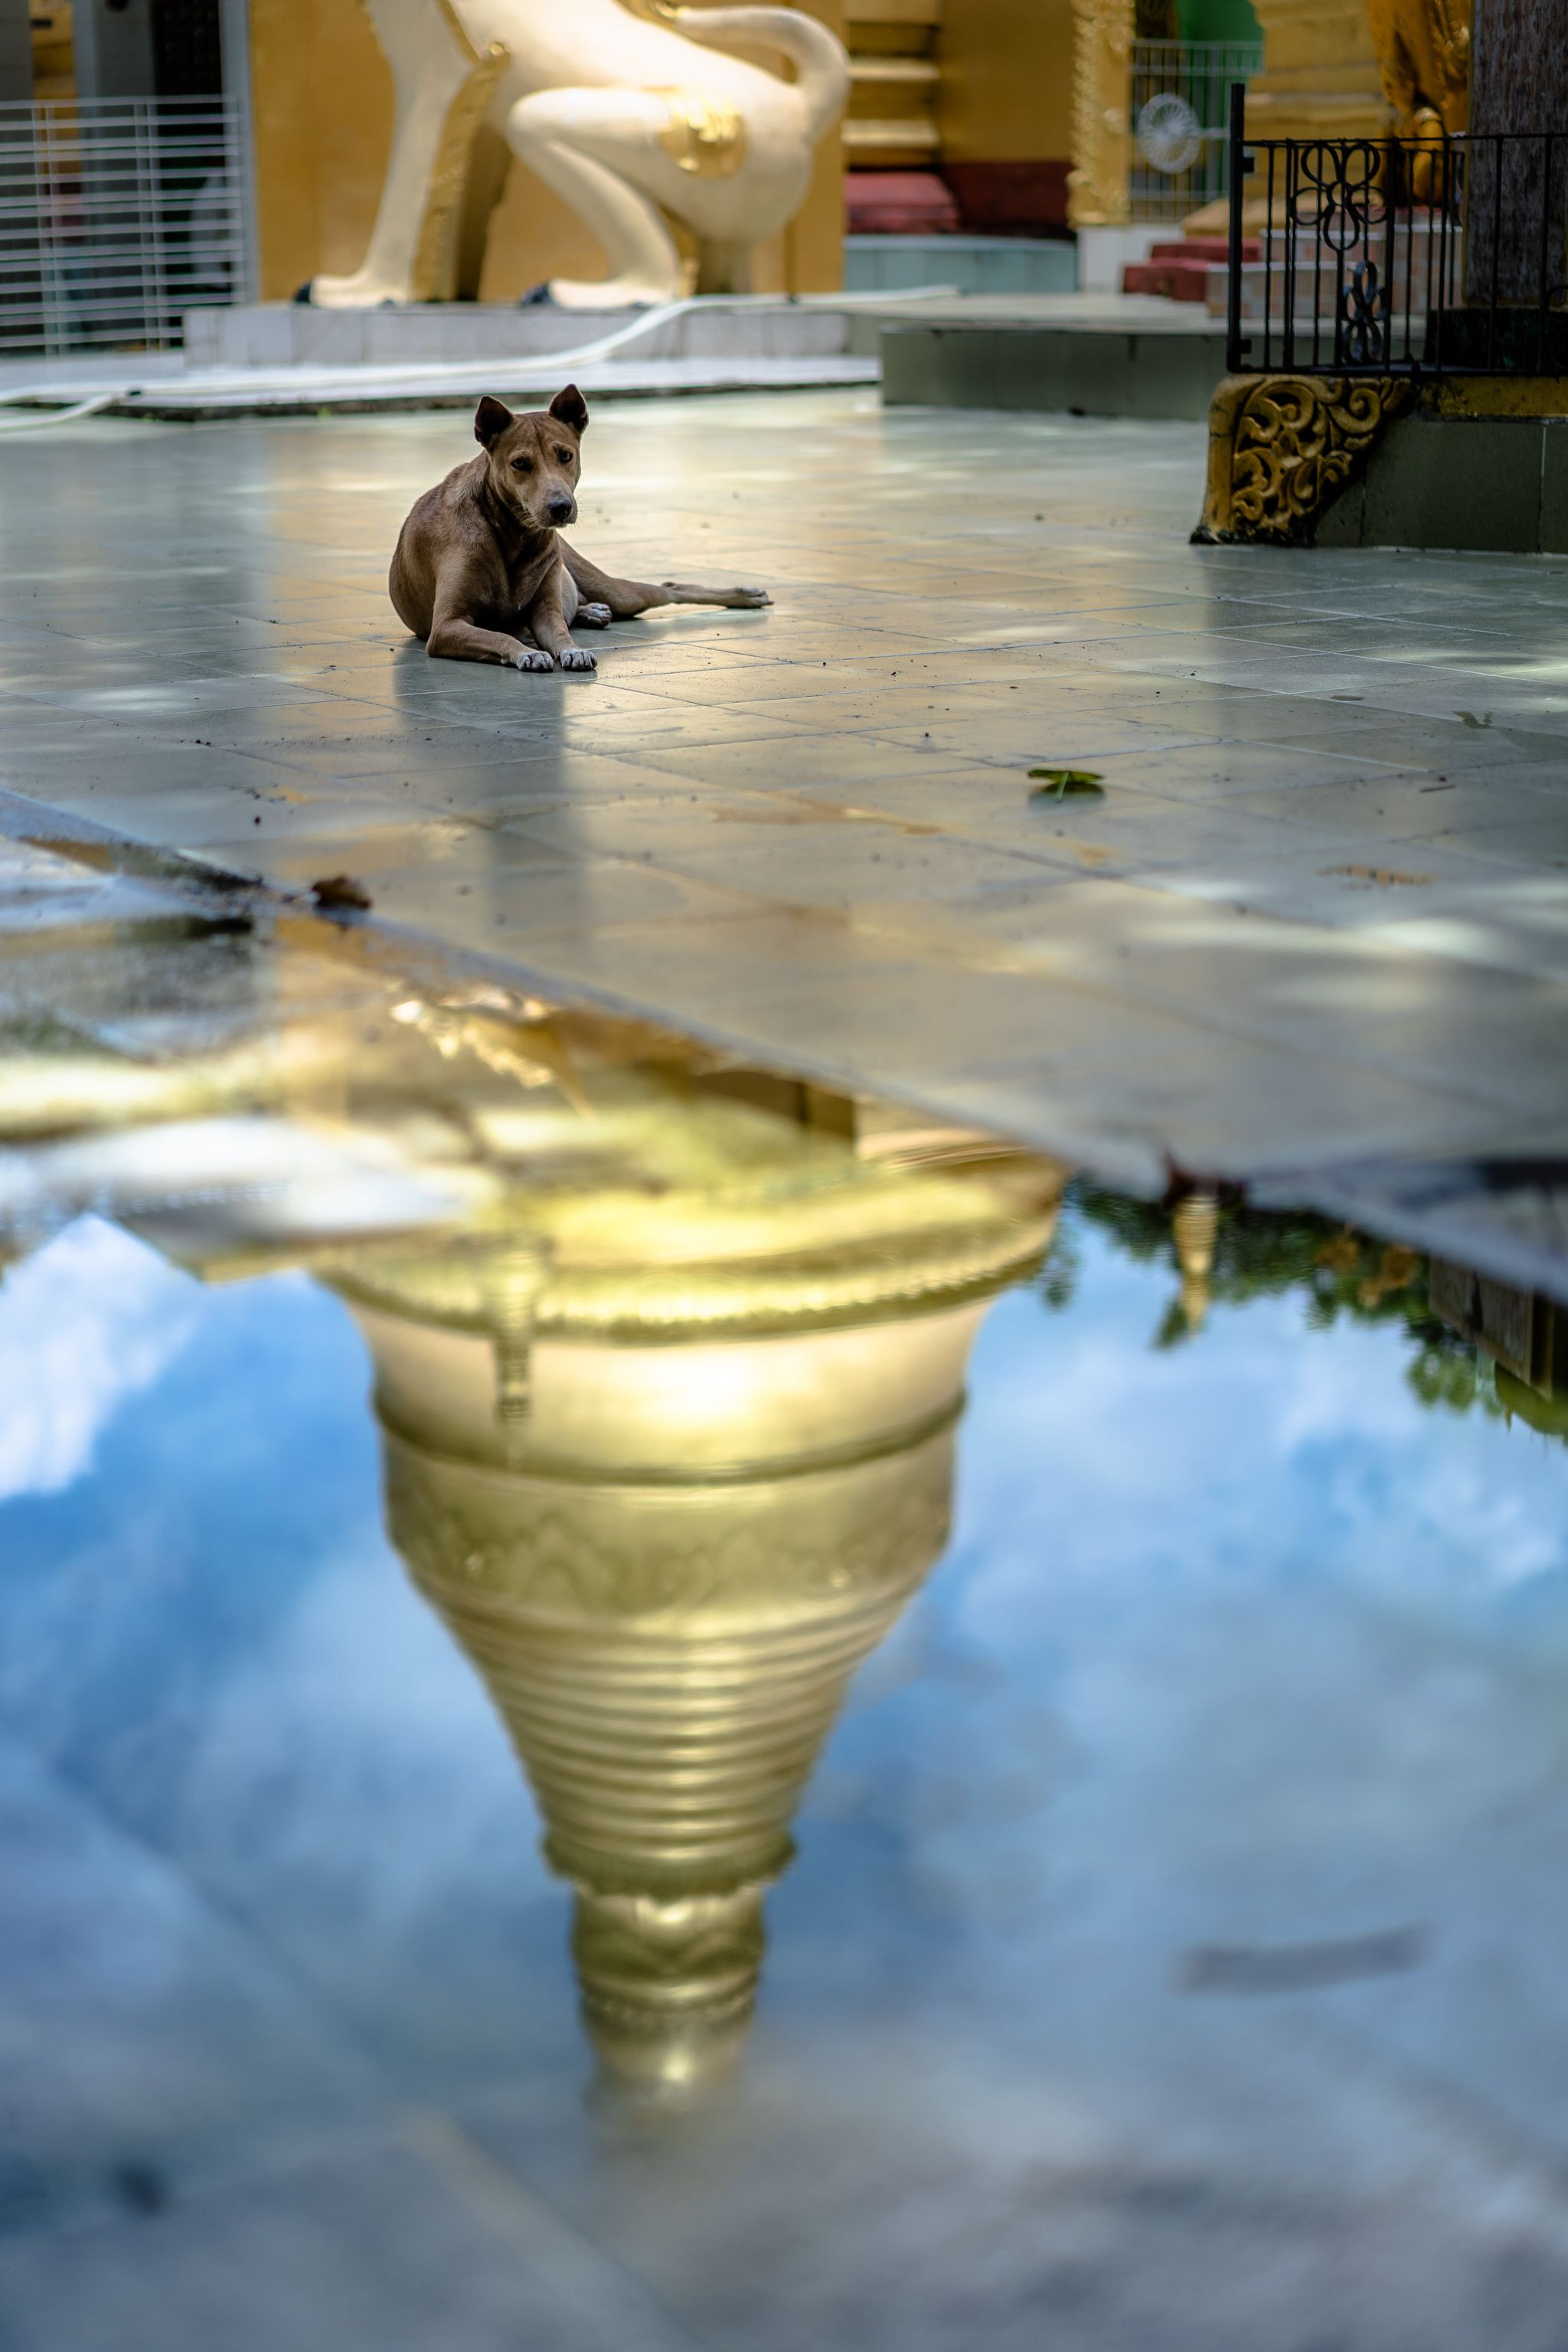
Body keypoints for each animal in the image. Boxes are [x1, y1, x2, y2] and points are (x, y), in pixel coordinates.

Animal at [390, 385, 771, 670]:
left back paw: (743, 595)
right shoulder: (446, 627)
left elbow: (559, 631)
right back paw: (590, 612)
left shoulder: (545, 610)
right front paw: (527, 651)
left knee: (669, 587)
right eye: (519, 464)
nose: (561, 507)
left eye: (566, 456)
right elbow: (499, 635)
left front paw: (571, 649)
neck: (512, 534)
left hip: (613, 589)